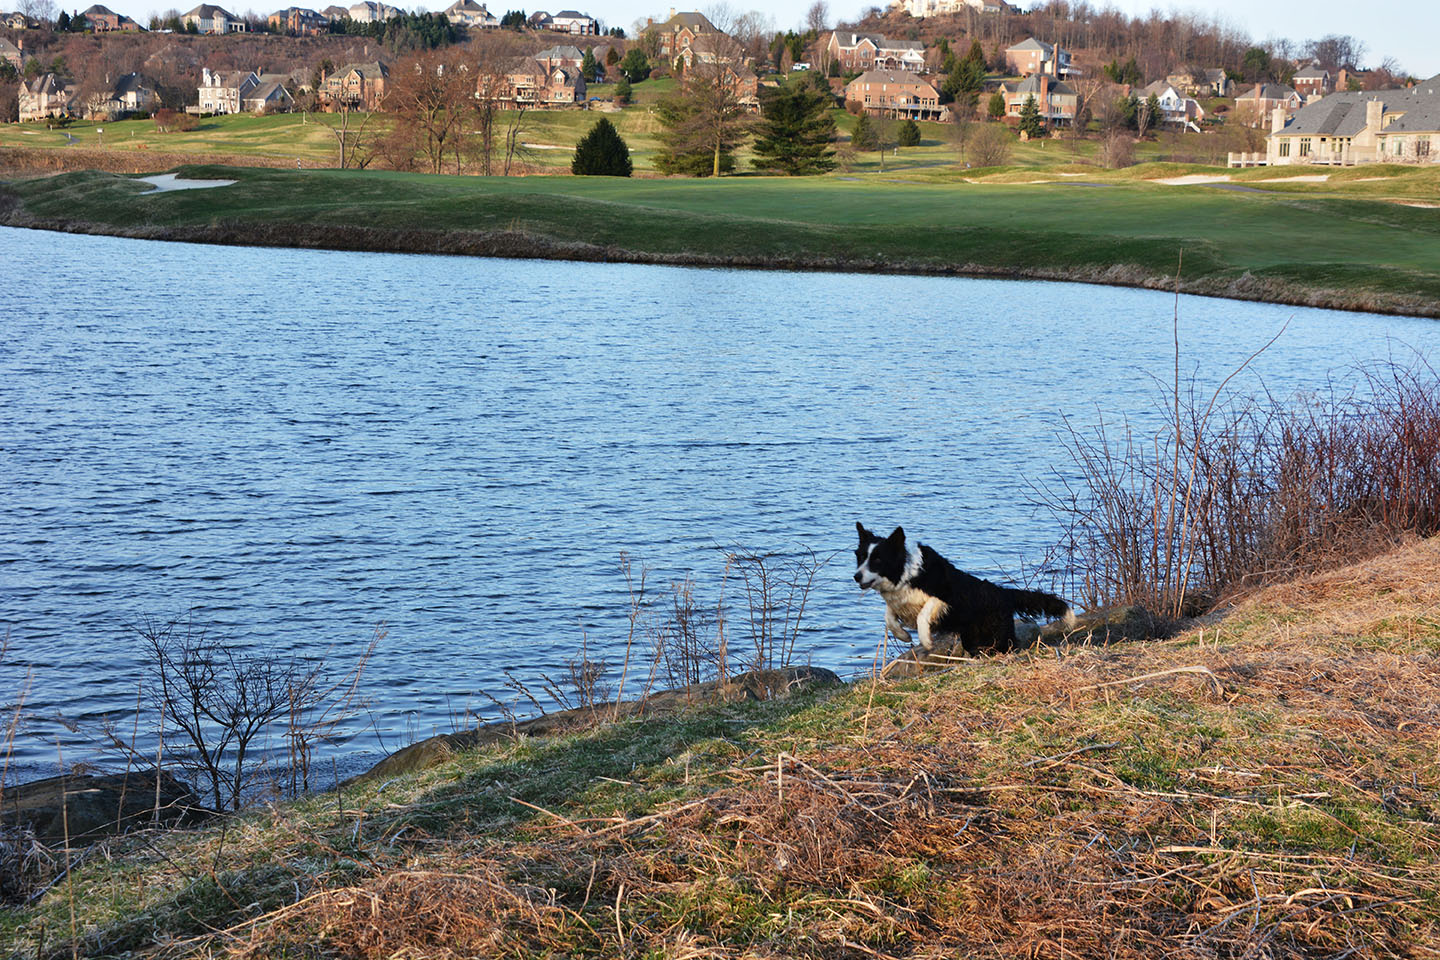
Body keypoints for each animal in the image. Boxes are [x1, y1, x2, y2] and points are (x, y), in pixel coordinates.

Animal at [846, 521, 1077, 656]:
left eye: (877, 560)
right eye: (861, 557)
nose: (856, 576)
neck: (905, 572)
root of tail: (1002, 592)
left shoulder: (945, 597)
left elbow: (923, 614)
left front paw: (926, 641)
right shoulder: (897, 600)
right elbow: (889, 617)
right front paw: (903, 635)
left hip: (998, 635)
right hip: (972, 638)